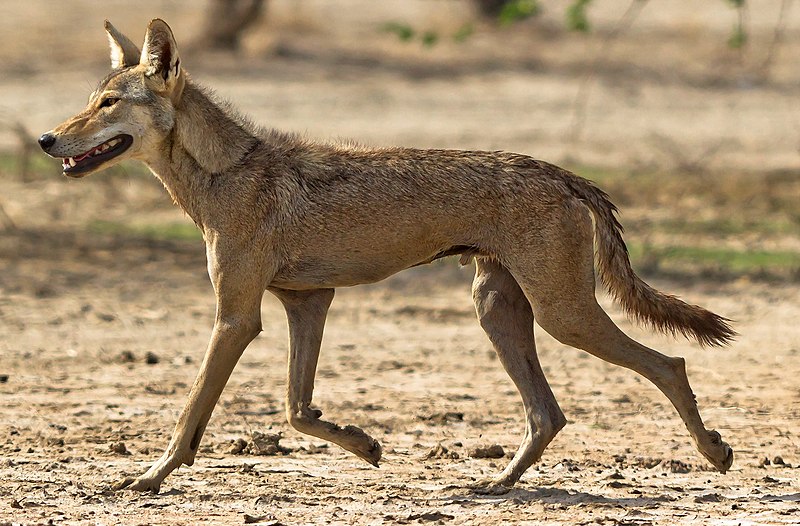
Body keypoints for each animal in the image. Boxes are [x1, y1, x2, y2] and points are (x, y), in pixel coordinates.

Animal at [39, 17, 736, 496]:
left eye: (107, 104)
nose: (46, 138)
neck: (224, 173)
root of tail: (561, 172)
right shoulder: (307, 303)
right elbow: (297, 410)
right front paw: (365, 445)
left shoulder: (237, 318)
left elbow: (191, 414)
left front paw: (149, 478)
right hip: (498, 310)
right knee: (549, 414)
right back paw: (496, 485)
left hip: (563, 316)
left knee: (667, 363)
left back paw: (715, 453)